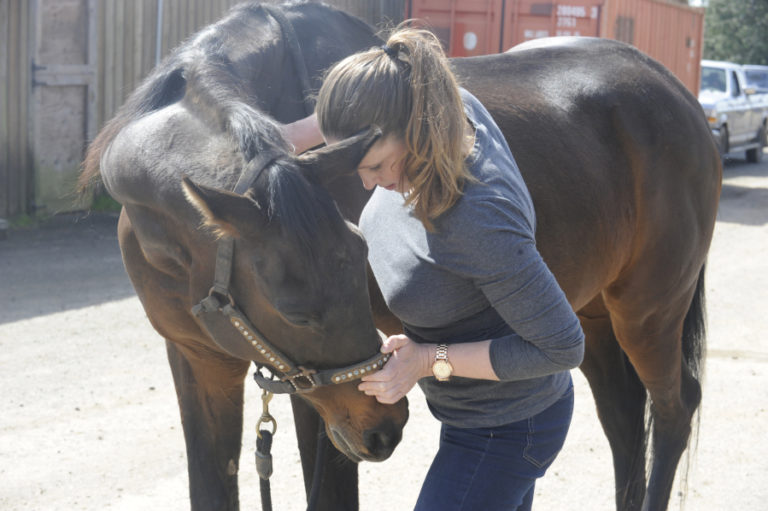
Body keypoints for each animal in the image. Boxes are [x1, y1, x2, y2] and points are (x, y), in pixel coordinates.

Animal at [79, 2, 721, 511]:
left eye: (361, 261)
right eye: (295, 312)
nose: (386, 429)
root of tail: (678, 95)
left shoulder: (322, 410)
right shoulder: (199, 362)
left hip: (648, 311)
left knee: (673, 408)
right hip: (593, 315)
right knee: (625, 418)